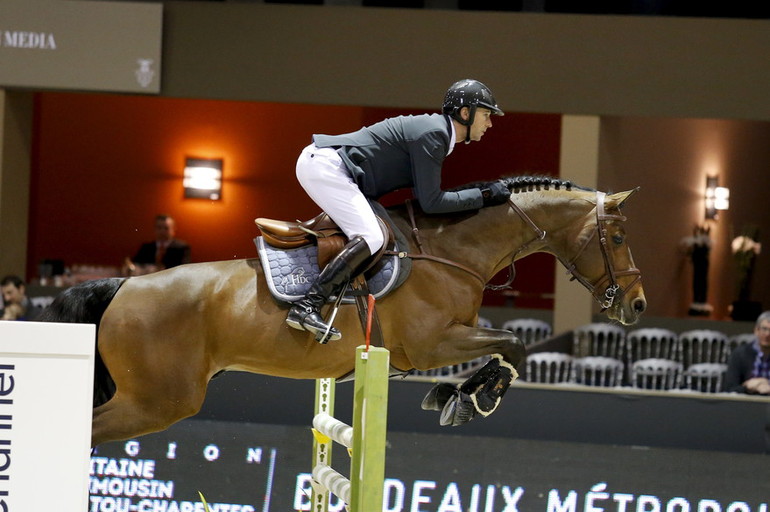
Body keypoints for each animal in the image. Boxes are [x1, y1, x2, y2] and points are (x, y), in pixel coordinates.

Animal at [40, 174, 640, 446]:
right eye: (617, 235)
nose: (636, 304)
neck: (452, 251)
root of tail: (123, 287)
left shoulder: (453, 338)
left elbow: (506, 349)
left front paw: (458, 397)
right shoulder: (431, 344)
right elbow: (514, 347)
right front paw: (473, 400)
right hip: (157, 402)